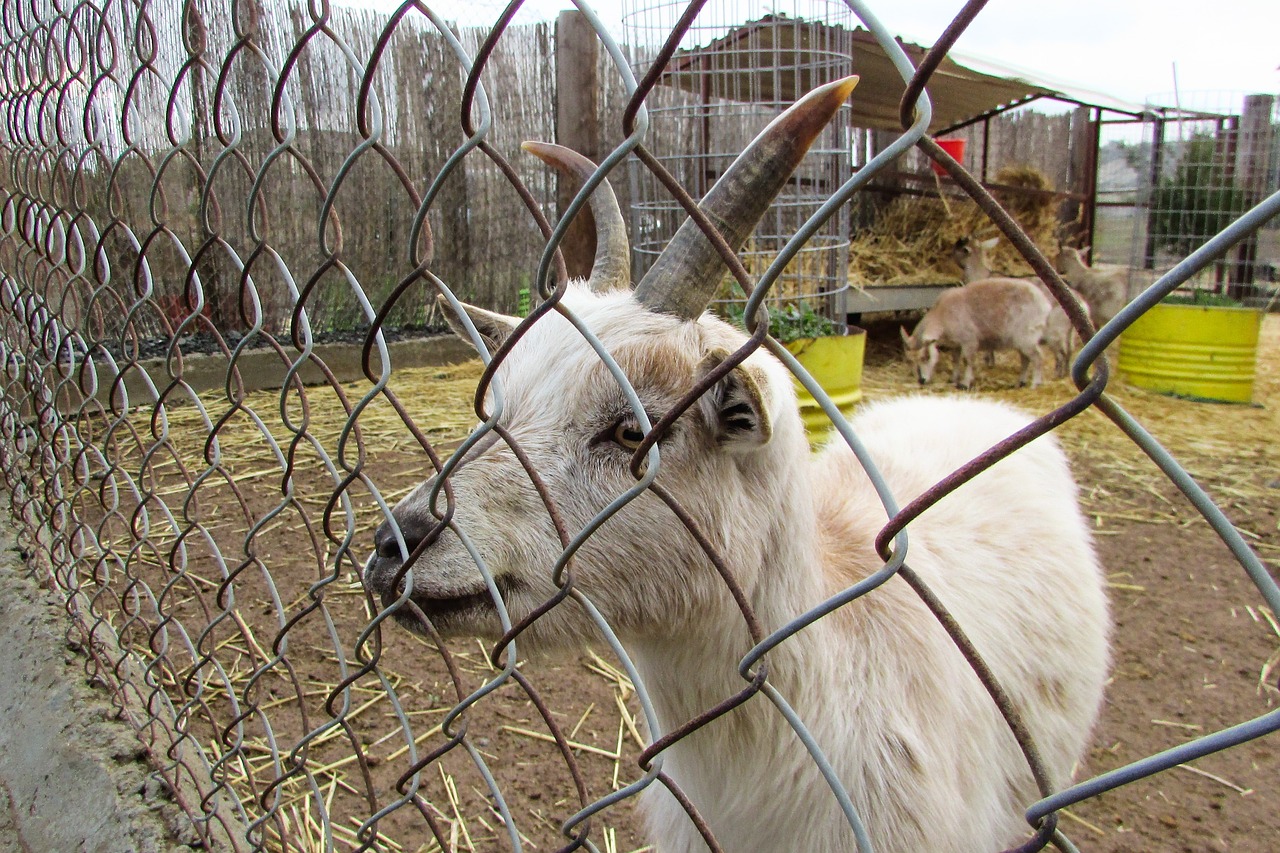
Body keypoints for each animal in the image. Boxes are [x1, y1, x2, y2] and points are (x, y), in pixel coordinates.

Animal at [901, 277, 1049, 386]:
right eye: (909, 360)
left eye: (925, 357)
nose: (921, 380)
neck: (942, 314)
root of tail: (1044, 303)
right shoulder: (956, 343)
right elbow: (955, 359)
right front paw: (953, 379)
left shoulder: (969, 341)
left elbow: (968, 360)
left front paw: (965, 383)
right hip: (1020, 340)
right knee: (1025, 359)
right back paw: (1021, 382)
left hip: (1027, 335)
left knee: (1038, 357)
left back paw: (1035, 384)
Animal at [952, 234, 1090, 376]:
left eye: (960, 247)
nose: (951, 254)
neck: (981, 275)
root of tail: (1079, 302)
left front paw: (988, 361)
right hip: (1070, 333)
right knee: (1070, 350)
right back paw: (1066, 373)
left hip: (1054, 333)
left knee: (1061, 353)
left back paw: (1056, 375)